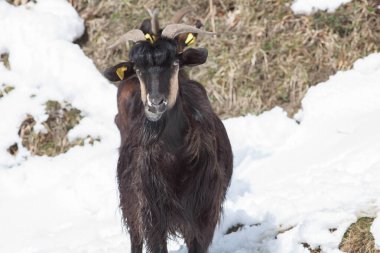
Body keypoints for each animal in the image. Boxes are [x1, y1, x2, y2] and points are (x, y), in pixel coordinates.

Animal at [104, 9, 235, 253]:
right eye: (138, 68)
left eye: (175, 62)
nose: (155, 104)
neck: (176, 159)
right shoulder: (152, 214)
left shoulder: (203, 214)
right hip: (131, 204)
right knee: (135, 238)